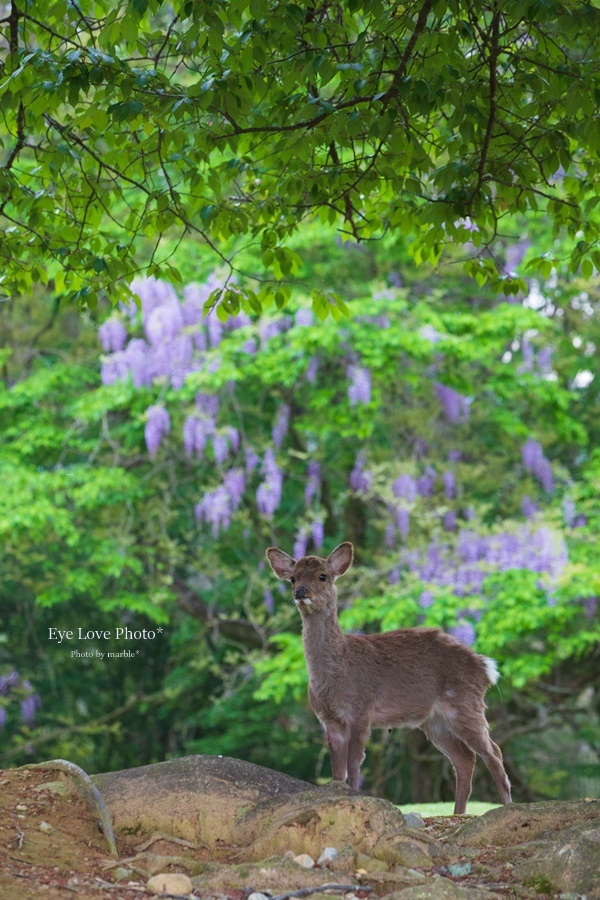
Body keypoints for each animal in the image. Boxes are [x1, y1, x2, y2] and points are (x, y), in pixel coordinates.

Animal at [268, 540, 510, 816]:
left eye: (322, 576)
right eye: (292, 578)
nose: (300, 592)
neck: (336, 674)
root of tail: (485, 667)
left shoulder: (362, 710)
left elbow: (354, 763)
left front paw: (356, 799)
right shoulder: (329, 719)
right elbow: (337, 770)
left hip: (466, 704)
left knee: (493, 752)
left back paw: (507, 806)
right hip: (434, 720)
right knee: (465, 758)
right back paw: (458, 814)